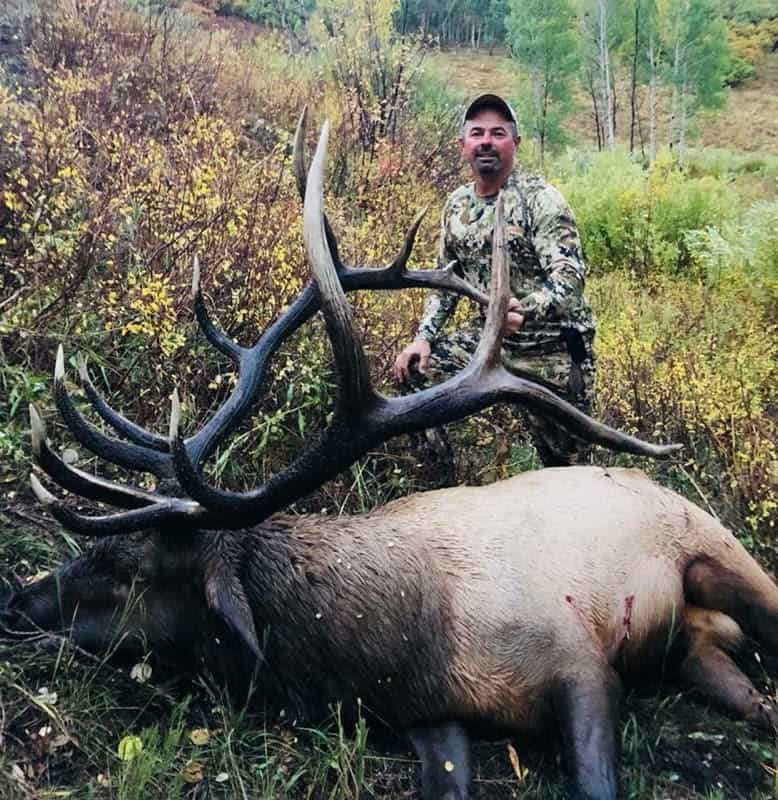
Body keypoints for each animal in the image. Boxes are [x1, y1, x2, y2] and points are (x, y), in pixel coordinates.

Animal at [2, 112, 777, 800]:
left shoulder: (579, 659)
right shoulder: (429, 715)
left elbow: (594, 779)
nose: (16, 601)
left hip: (722, 553)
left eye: (130, 571)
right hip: (692, 645)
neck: (392, 651)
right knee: (749, 697)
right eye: (96, 552)